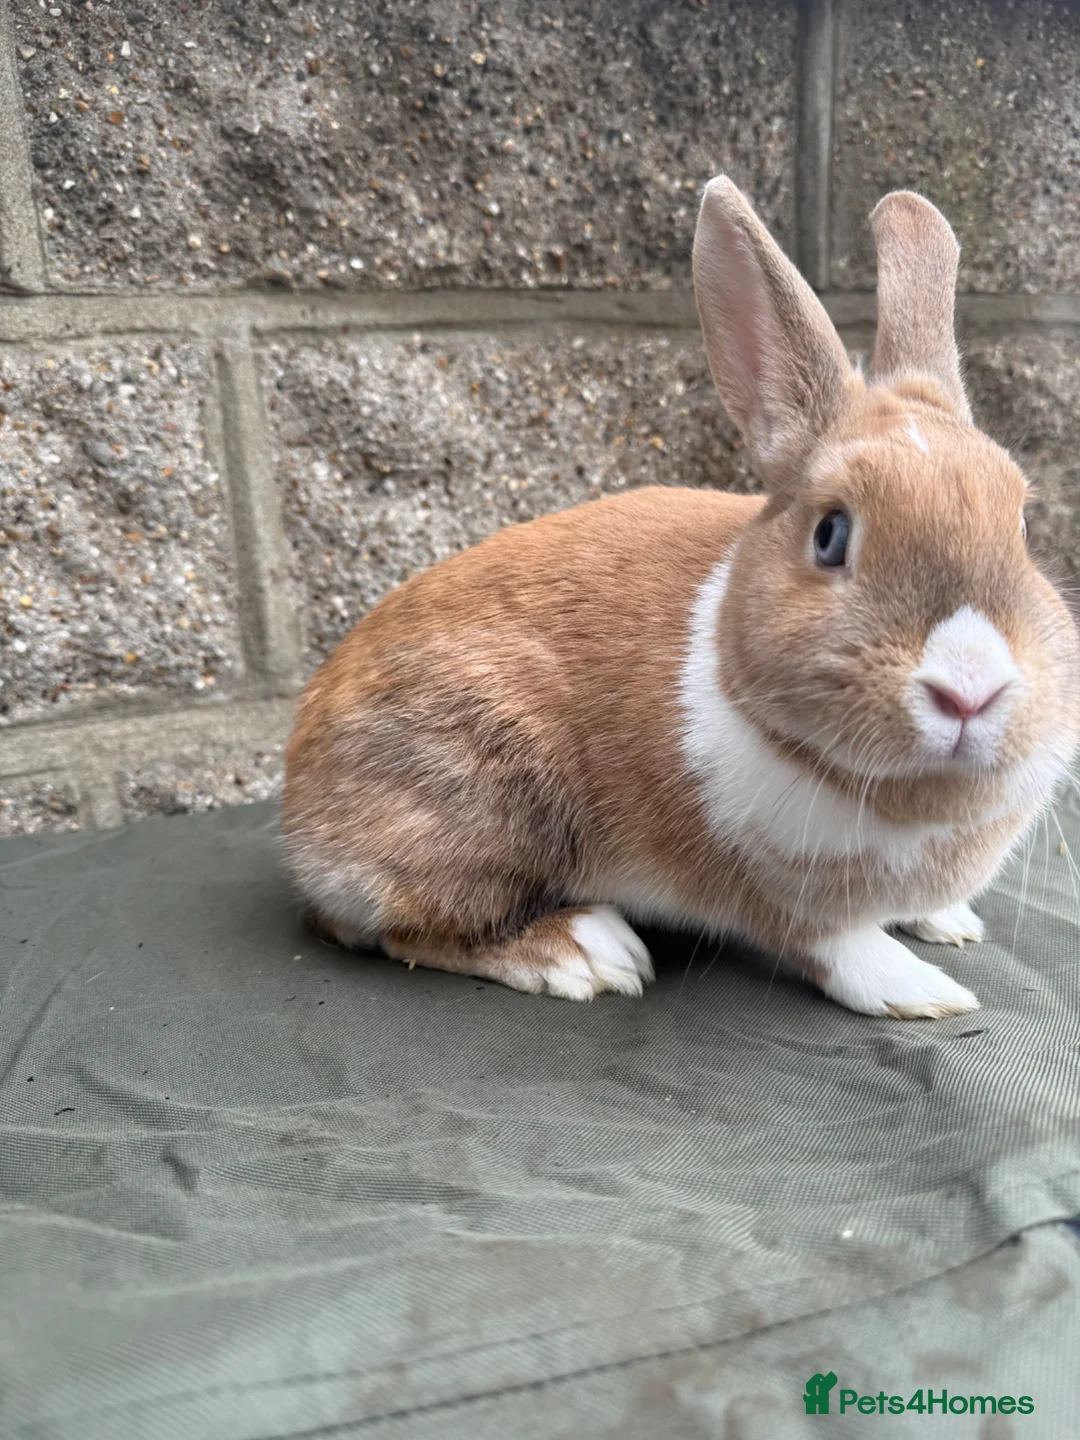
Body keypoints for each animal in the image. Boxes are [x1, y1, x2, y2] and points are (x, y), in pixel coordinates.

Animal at [282, 176, 1080, 1019]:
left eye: (1023, 527)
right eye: (831, 535)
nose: (970, 691)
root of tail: (300, 816)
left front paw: (952, 924)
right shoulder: (775, 892)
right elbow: (837, 948)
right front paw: (925, 993)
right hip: (482, 798)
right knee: (409, 929)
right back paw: (586, 953)